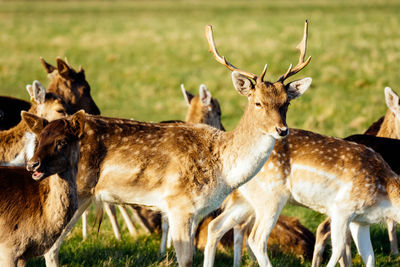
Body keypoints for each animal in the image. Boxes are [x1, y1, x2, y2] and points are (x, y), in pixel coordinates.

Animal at [39, 23, 310, 267]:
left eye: (286, 103)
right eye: (257, 102)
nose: (282, 130)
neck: (222, 169)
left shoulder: (195, 212)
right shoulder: (179, 204)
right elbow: (186, 260)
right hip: (76, 192)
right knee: (50, 247)